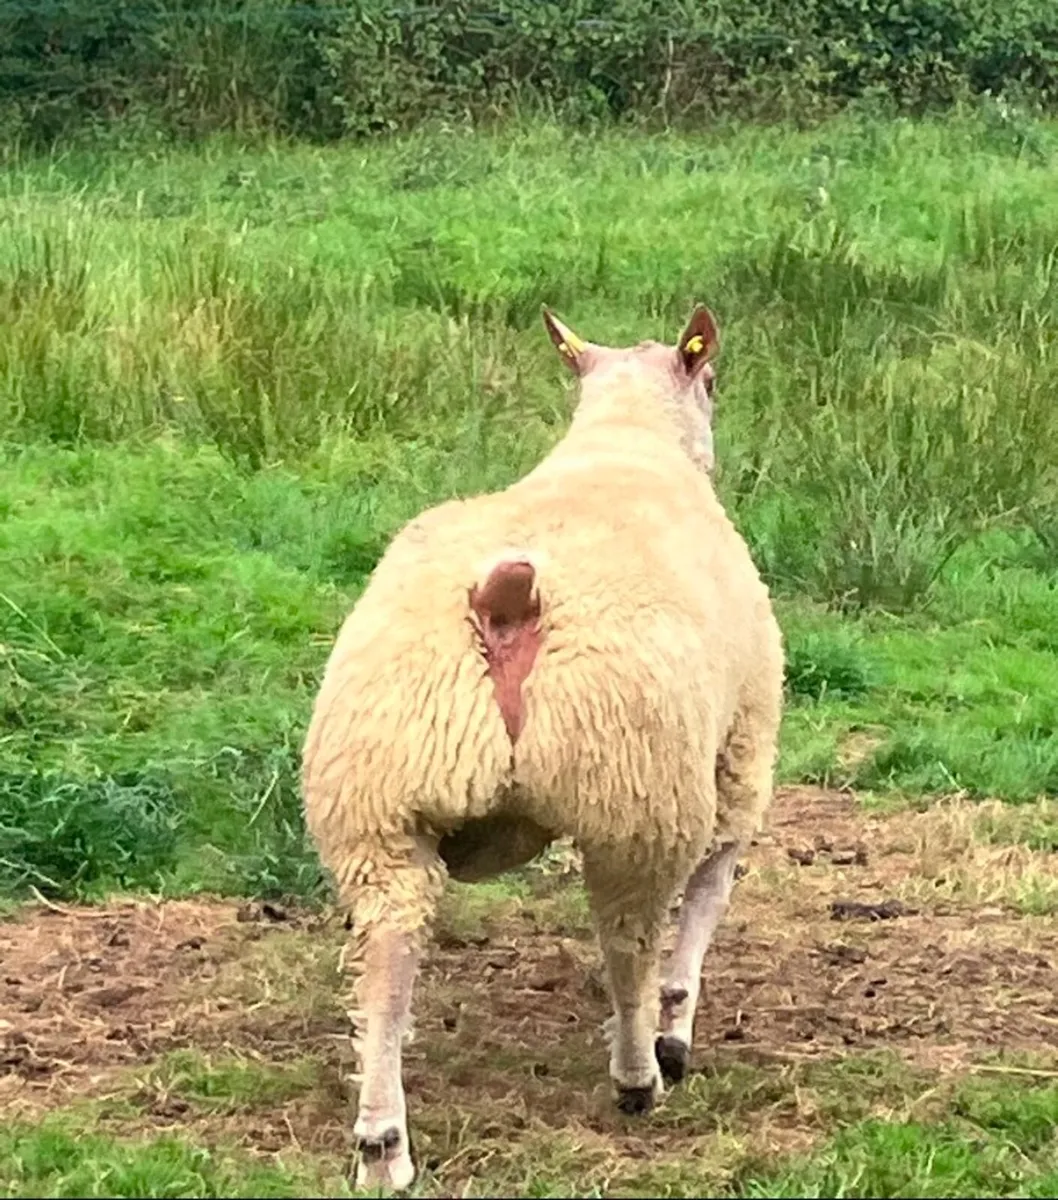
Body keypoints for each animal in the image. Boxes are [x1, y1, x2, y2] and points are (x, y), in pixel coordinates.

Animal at [301, 303, 785, 1191]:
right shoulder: (742, 750)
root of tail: (506, 600)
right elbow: (708, 897)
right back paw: (638, 1075)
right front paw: (679, 1029)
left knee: (386, 956)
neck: (625, 442)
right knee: (628, 943)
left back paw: (383, 1144)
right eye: (714, 380)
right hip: (638, 795)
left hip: (376, 798)